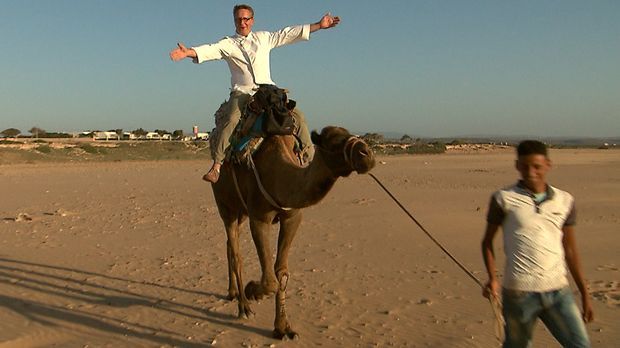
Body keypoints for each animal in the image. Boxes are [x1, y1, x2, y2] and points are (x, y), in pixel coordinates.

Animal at [211, 125, 376, 340]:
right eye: (333, 142)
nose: (367, 154)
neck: (280, 176)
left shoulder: (292, 218)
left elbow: (281, 272)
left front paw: (283, 328)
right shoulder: (259, 218)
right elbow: (270, 281)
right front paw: (252, 290)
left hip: (241, 212)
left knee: (229, 245)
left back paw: (232, 293)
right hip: (225, 204)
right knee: (236, 250)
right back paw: (244, 306)